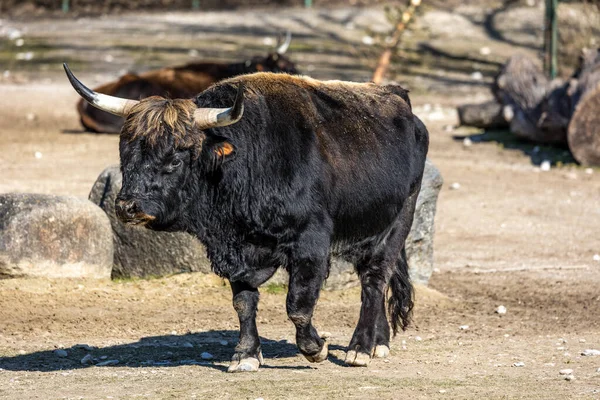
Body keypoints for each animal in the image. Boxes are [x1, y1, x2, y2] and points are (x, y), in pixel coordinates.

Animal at [65, 66, 428, 372]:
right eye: (126, 154)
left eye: (175, 158)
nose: (128, 206)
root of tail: (401, 103)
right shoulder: (233, 252)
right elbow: (243, 302)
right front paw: (245, 355)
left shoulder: (311, 243)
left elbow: (298, 304)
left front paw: (316, 348)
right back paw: (379, 342)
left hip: (398, 222)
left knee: (374, 279)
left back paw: (360, 349)